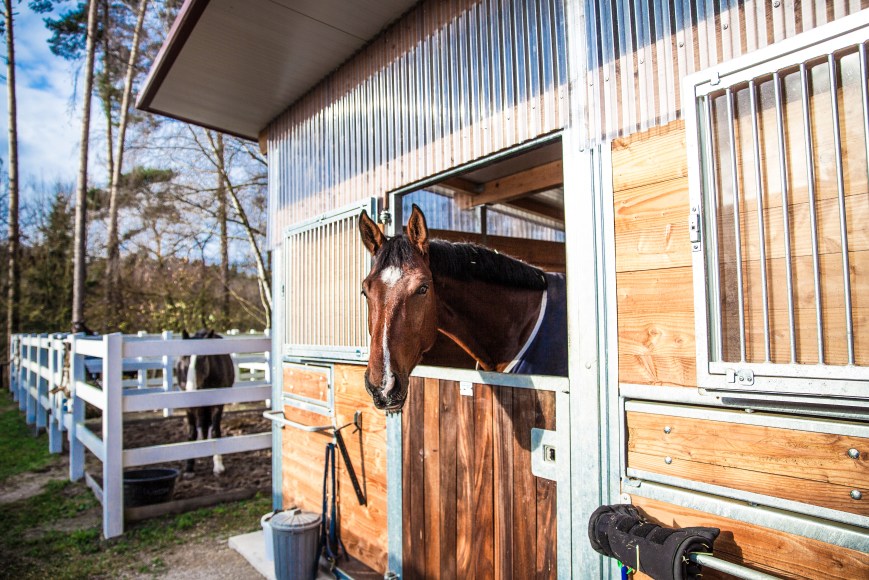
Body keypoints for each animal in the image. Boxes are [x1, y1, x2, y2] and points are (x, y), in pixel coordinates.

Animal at [174, 330, 236, 476]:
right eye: (185, 357)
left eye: (203, 358)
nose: (190, 389)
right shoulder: (189, 407)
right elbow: (191, 433)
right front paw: (189, 467)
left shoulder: (217, 404)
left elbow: (215, 431)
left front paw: (218, 466)